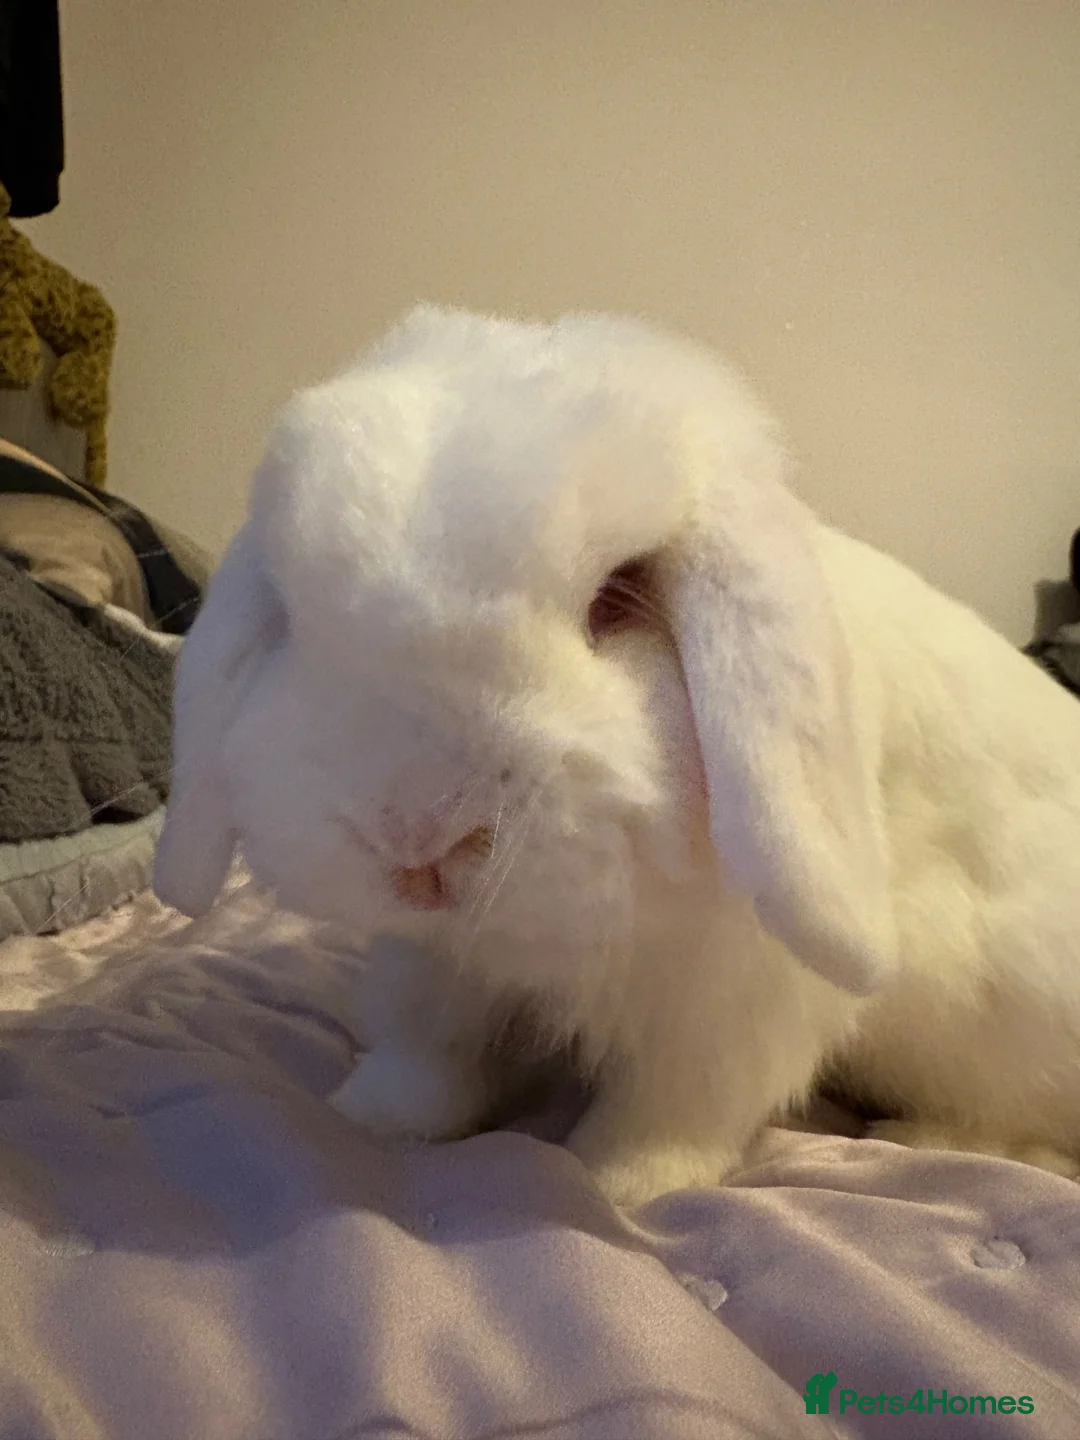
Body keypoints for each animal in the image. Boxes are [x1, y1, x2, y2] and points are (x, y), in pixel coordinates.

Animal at [154, 304, 1080, 1205]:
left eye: (617, 598)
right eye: (295, 617)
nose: (417, 838)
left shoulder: (726, 1004)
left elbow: (671, 1109)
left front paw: (610, 1182)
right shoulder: (439, 963)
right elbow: (432, 1056)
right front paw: (368, 1117)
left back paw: (931, 1139)